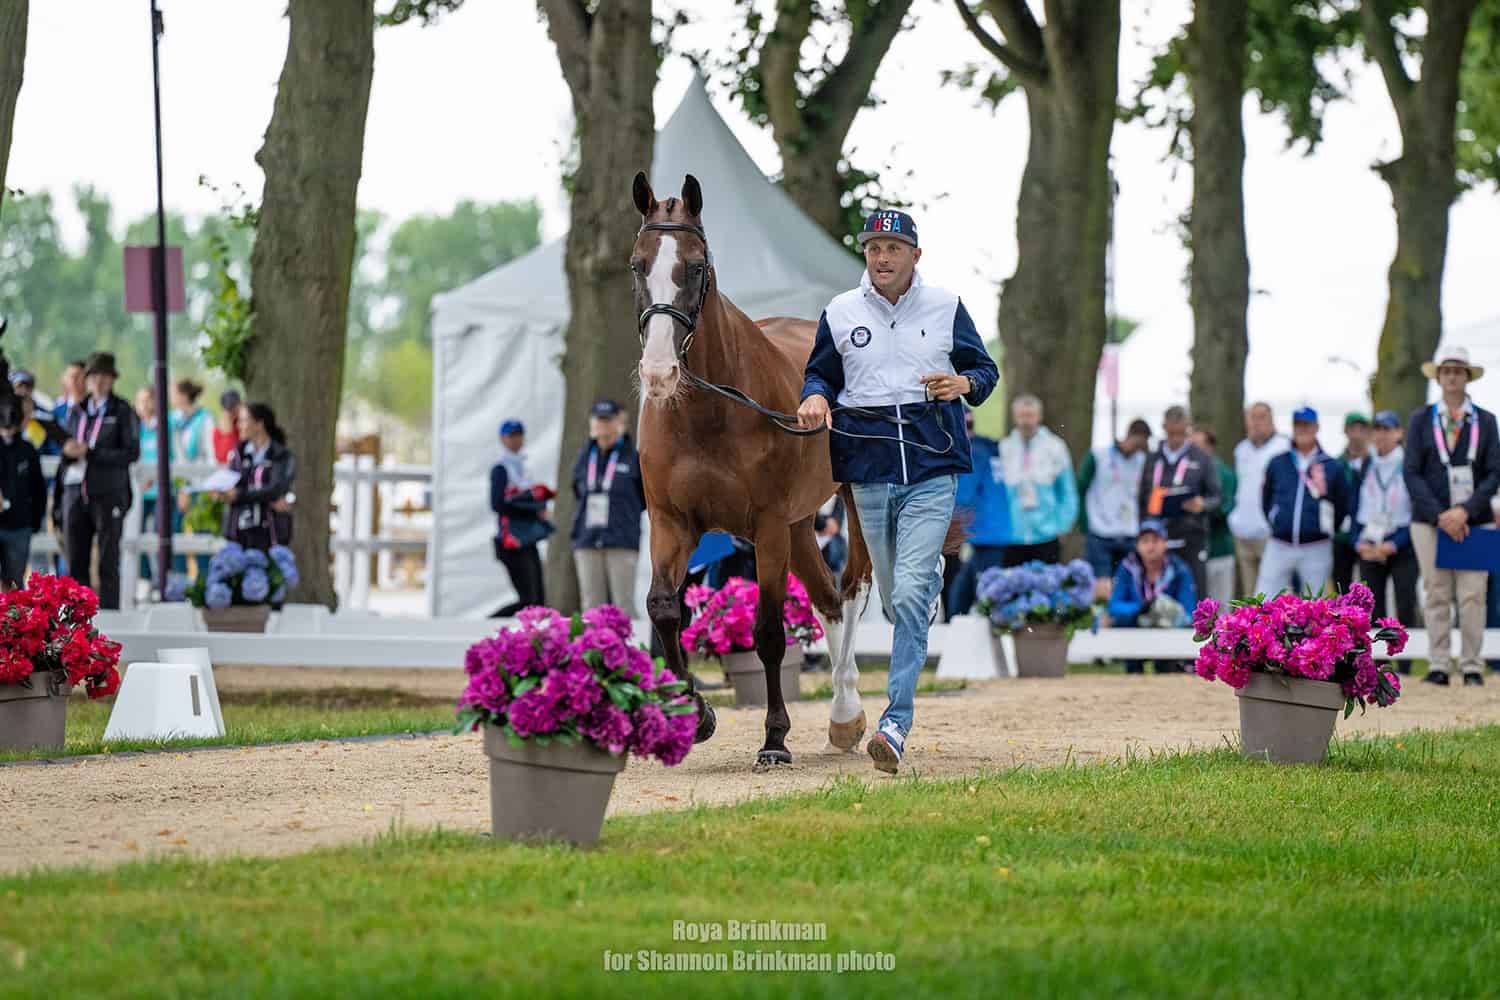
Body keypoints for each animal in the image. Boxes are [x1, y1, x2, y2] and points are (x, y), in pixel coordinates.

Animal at [630, 171, 874, 768]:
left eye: (695, 266)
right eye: (636, 265)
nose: (659, 372)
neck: (710, 409)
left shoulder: (765, 528)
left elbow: (768, 633)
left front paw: (774, 739)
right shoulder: (672, 523)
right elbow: (664, 609)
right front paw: (696, 715)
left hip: (848, 503)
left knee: (852, 590)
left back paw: (844, 711)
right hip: (800, 524)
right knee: (829, 602)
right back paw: (842, 721)